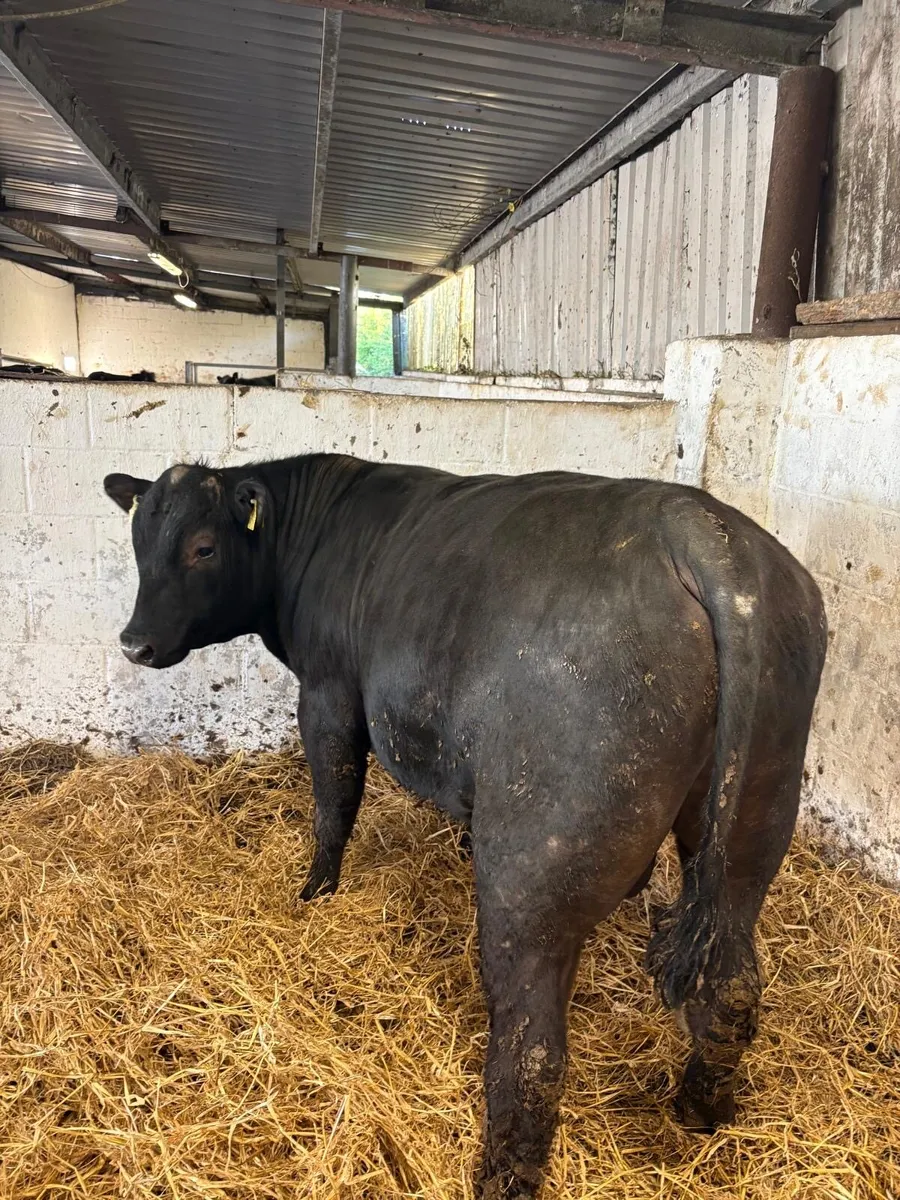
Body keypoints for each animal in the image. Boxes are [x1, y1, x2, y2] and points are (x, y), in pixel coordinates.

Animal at [103, 455, 826, 1199]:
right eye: (138, 540)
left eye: (203, 547)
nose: (134, 643)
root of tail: (698, 528)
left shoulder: (328, 691)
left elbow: (334, 799)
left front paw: (315, 891)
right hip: (750, 828)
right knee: (732, 985)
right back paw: (700, 1109)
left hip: (534, 872)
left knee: (532, 1051)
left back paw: (502, 1177)